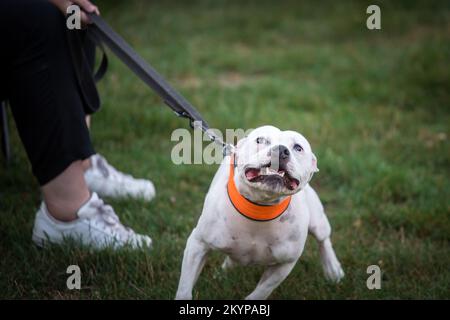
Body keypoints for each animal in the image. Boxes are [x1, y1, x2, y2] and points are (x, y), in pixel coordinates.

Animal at [176, 125, 344, 300]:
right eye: (261, 140)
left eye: (298, 147)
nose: (281, 150)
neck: (259, 208)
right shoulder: (198, 244)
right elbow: (185, 288)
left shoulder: (285, 264)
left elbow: (261, 291)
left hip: (318, 222)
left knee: (323, 240)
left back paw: (332, 269)